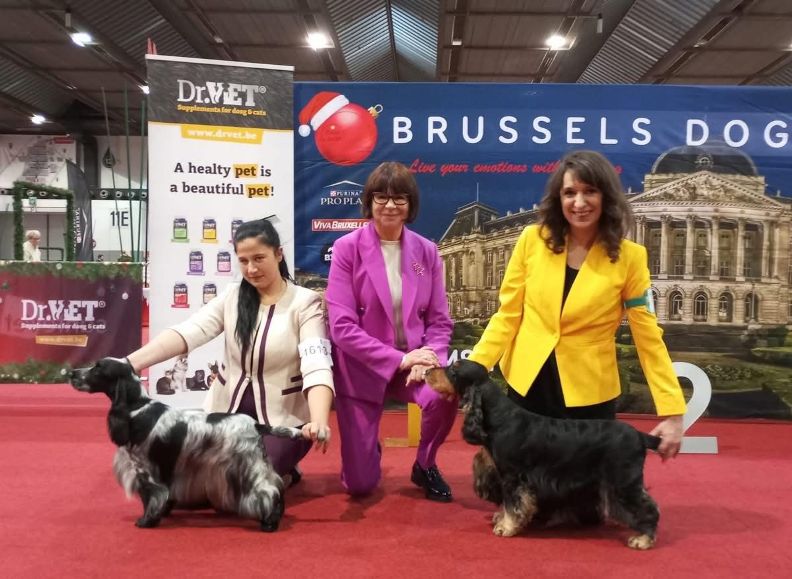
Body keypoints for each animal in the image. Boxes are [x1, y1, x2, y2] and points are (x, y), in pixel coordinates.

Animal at [70, 357, 303, 532]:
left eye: (98, 367)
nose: (71, 373)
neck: (137, 408)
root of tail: (255, 424)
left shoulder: (145, 470)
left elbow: (150, 497)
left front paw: (146, 521)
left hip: (247, 466)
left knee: (270, 490)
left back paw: (269, 523)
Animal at [424, 360, 662, 550]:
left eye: (453, 370)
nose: (426, 371)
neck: (499, 417)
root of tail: (640, 436)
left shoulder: (512, 476)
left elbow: (512, 504)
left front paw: (506, 527)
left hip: (623, 482)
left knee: (648, 508)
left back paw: (643, 539)